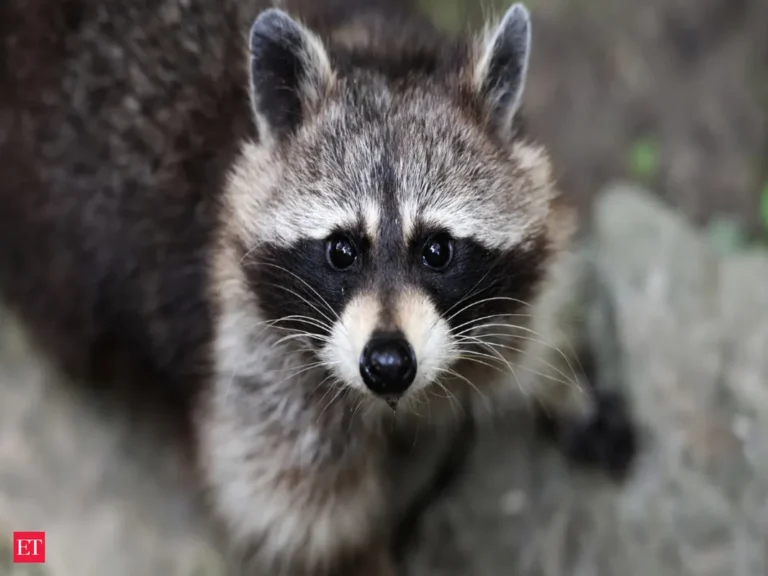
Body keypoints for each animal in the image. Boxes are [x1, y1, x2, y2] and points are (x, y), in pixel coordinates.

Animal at [0, 0, 637, 574]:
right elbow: (298, 518)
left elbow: (531, 318)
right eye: (341, 250)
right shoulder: (249, 354)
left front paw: (566, 385)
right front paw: (361, 558)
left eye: (437, 250)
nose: (388, 364)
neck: (378, 57)